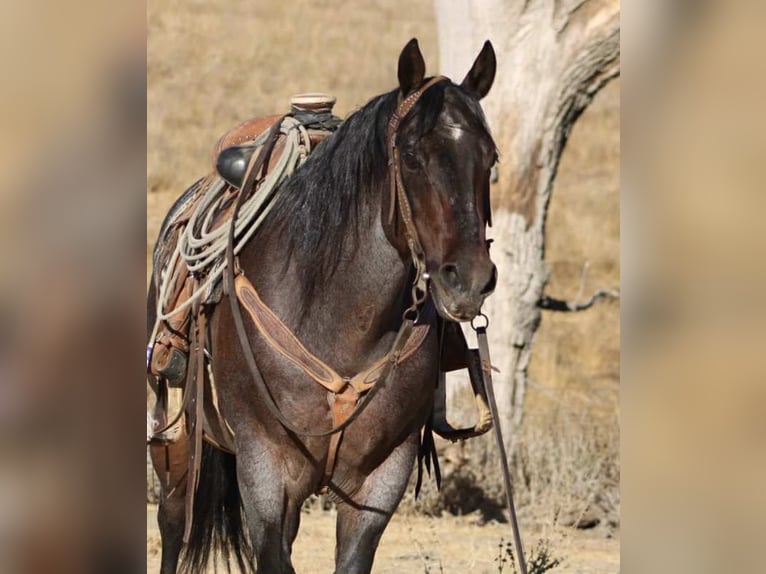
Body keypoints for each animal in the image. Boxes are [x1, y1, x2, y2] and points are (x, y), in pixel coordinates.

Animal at [148, 38, 498, 574]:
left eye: (491, 159)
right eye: (412, 157)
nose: (471, 281)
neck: (341, 324)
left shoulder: (381, 480)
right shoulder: (266, 471)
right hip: (178, 441)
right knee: (171, 523)